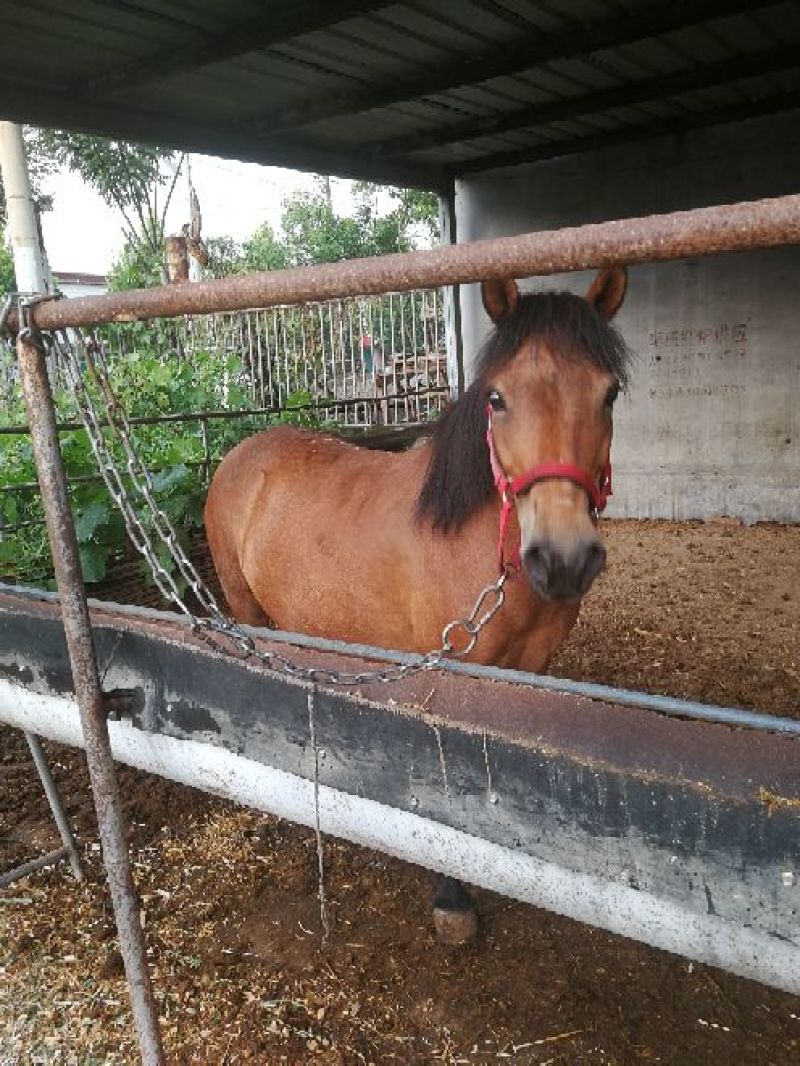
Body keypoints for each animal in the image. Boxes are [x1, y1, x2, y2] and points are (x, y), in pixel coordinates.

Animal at [205, 266, 631, 940]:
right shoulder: (446, 675)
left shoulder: (529, 673)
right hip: (245, 608)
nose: (563, 559)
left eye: (608, 394)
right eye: (496, 398)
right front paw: (452, 899)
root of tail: (242, 454)